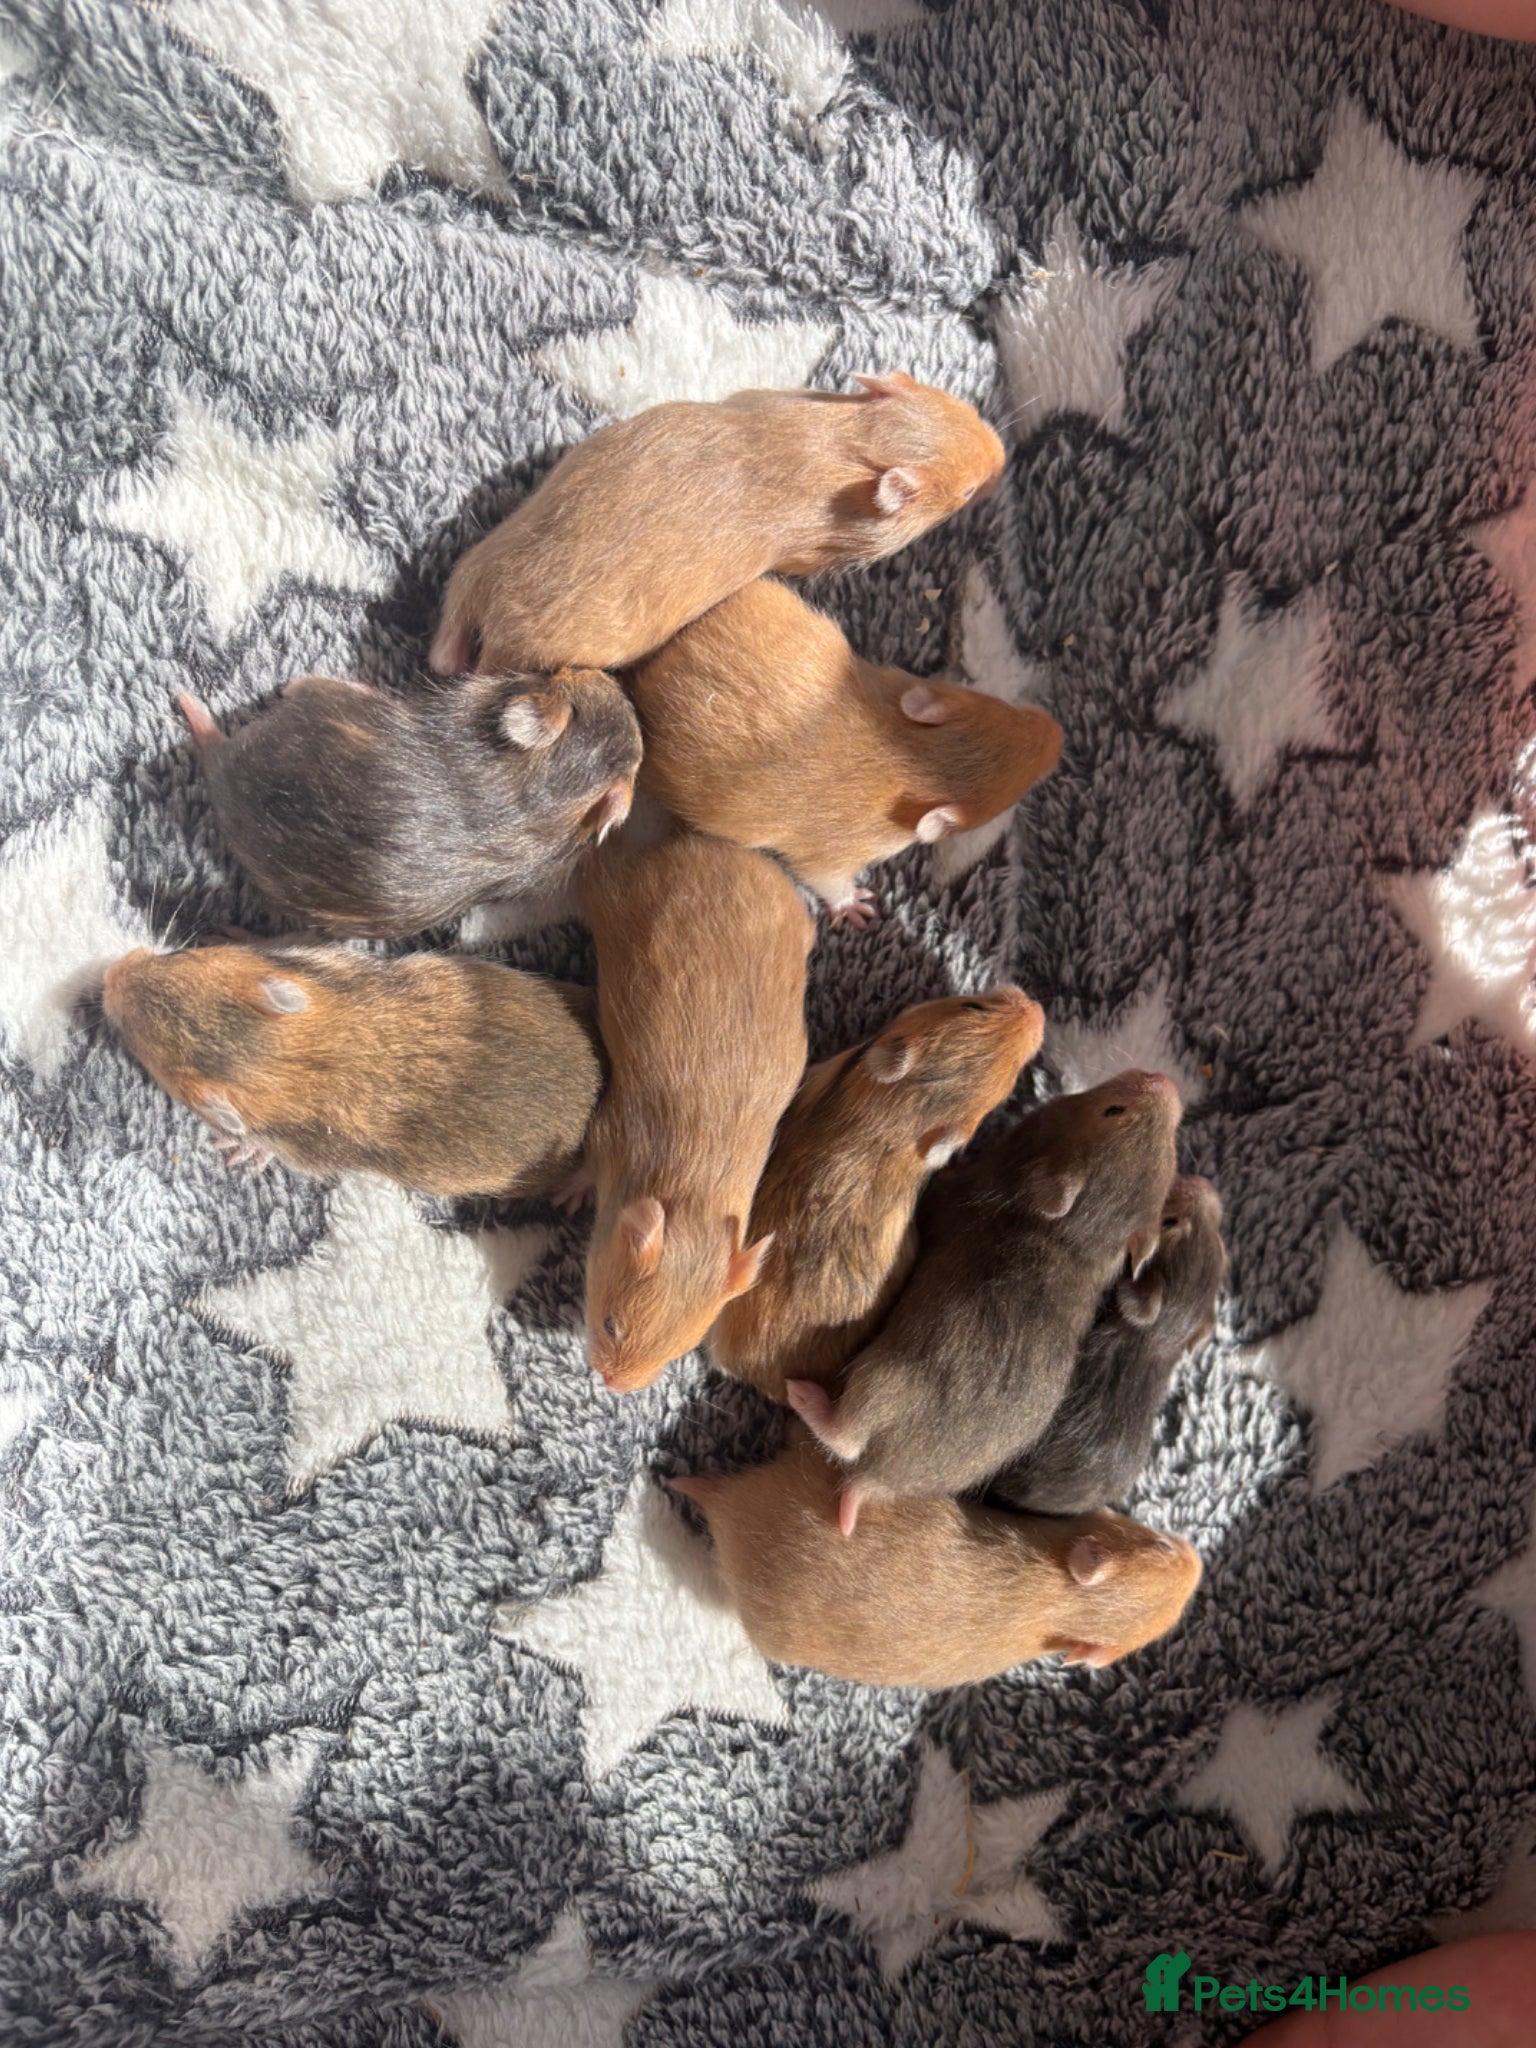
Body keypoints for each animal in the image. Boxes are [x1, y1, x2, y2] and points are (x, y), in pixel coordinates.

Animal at [101, 941, 603, 1197]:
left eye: (131, 1036)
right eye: (178, 957)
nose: (108, 973)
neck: (300, 1063)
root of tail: (594, 1078)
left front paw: (235, 1149)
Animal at [429, 376, 1005, 676]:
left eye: (965, 408)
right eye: (964, 493)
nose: (1001, 457)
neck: (849, 442)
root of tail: (490, 606)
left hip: (482, 554)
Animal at [581, 831, 812, 1391]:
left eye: (678, 1351)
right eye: (611, 1325)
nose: (613, 1387)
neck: (687, 1194)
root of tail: (707, 845)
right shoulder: (608, 1135)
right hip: (616, 897)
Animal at [629, 578, 1062, 925]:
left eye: (1007, 711)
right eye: (1020, 787)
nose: (1059, 734)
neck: (909, 756)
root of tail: (652, 676)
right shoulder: (834, 854)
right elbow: (827, 880)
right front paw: (855, 906)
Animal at [787, 1071, 1183, 1532]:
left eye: (1112, 1111)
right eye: (1172, 1153)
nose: (1167, 1081)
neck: (1078, 1237)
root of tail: (878, 1480)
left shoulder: (954, 1197)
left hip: (879, 1380)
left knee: (847, 1439)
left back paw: (809, 1401)